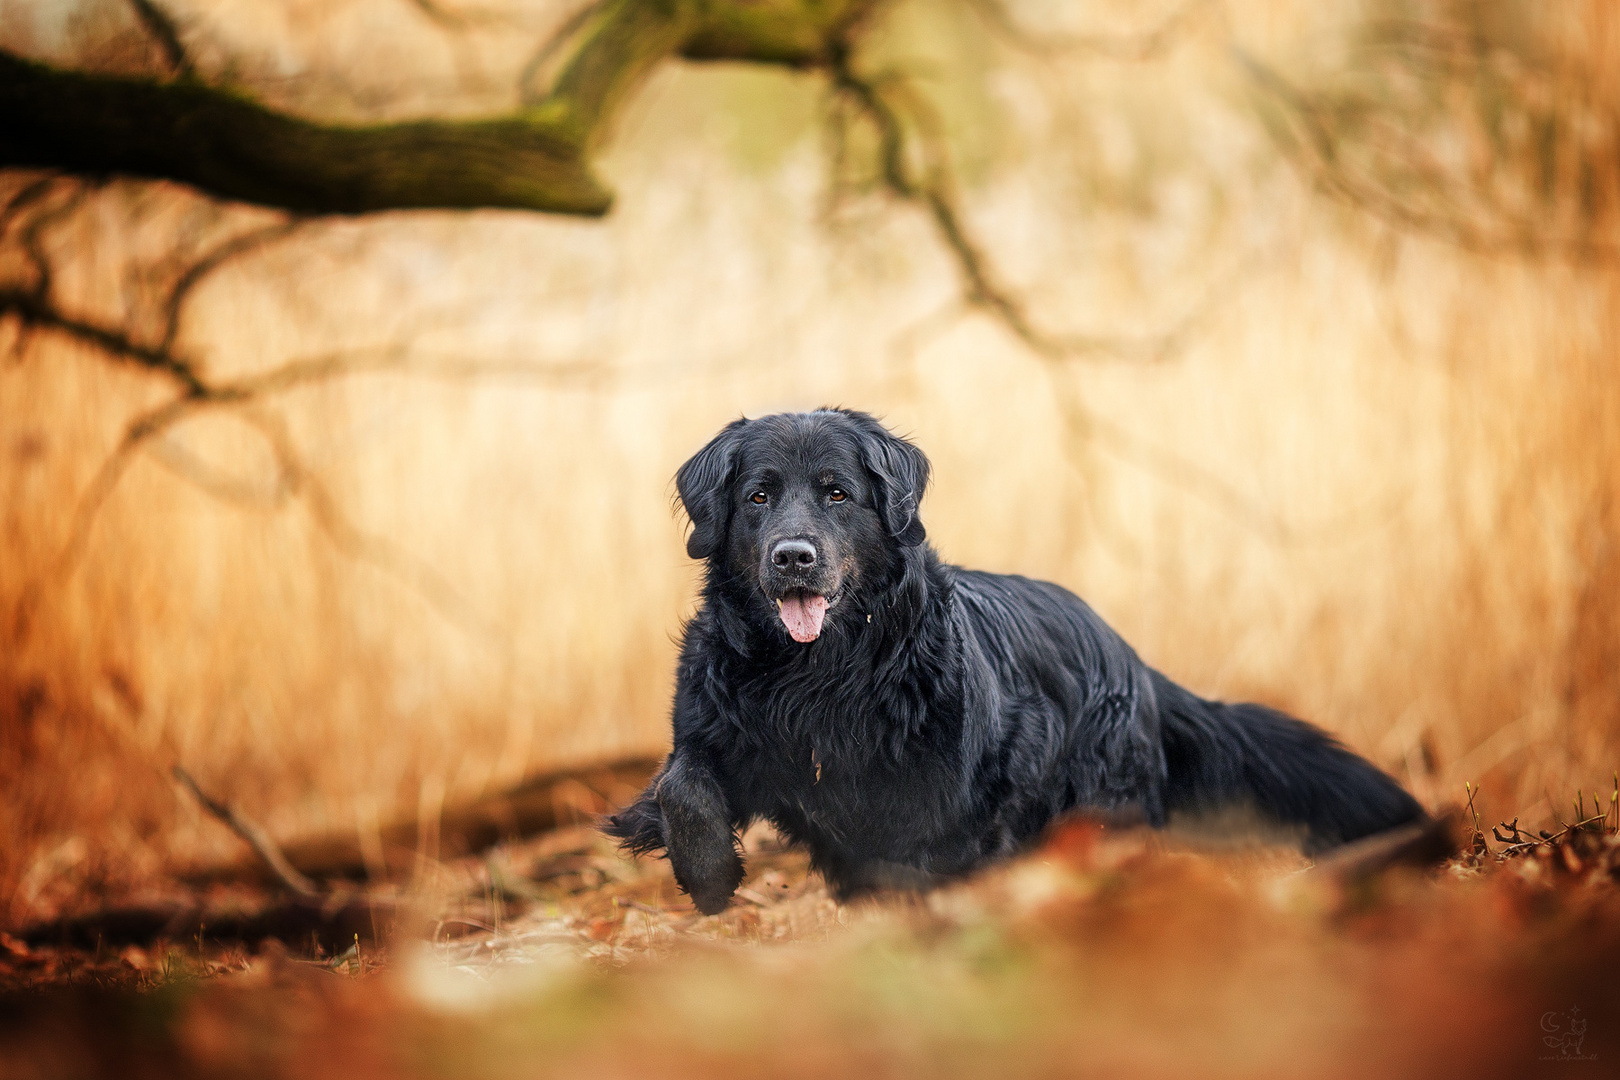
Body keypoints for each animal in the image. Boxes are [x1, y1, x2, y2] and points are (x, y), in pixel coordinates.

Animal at [602, 409, 1425, 919]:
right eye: (758, 496)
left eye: (836, 494)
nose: (793, 557)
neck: (815, 673)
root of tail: (1132, 657)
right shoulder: (717, 732)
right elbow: (682, 786)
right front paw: (709, 876)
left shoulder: (939, 799)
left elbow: (929, 861)